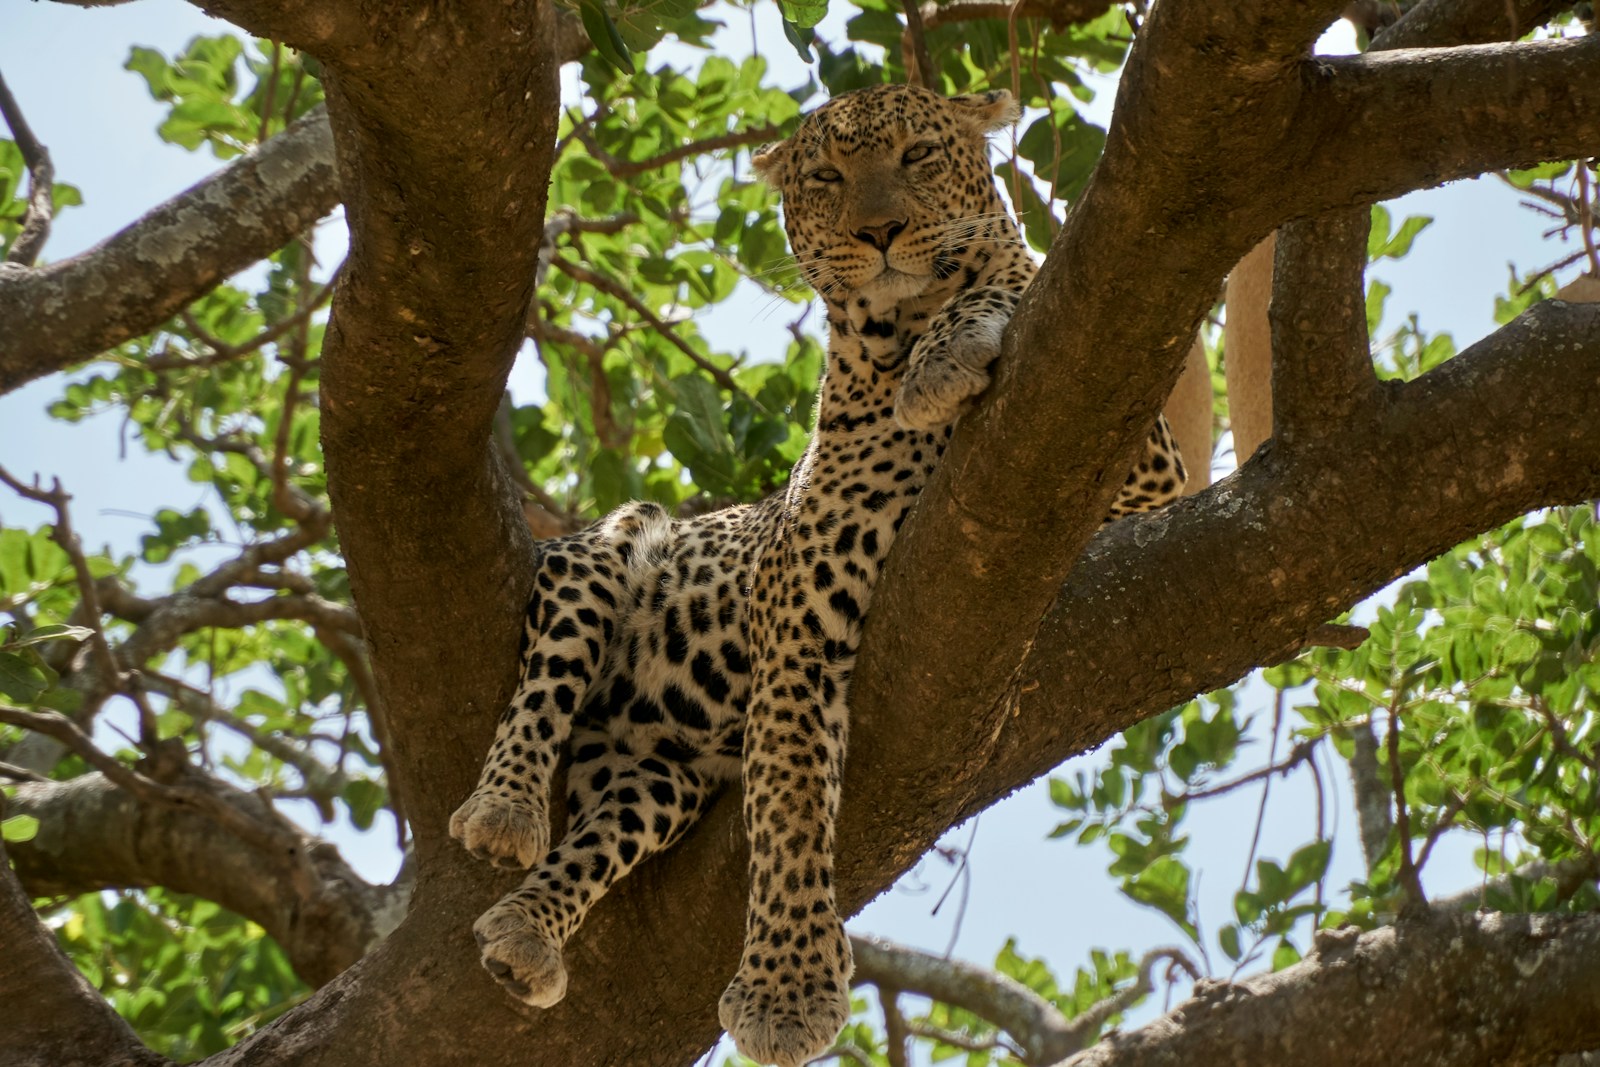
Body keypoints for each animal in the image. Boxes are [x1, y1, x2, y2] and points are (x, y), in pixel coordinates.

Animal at [449, 83, 1186, 1067]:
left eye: (918, 155)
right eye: (829, 177)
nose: (880, 230)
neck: (895, 336)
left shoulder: (1140, 462)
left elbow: (1006, 279)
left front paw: (954, 346)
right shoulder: (799, 616)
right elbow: (791, 801)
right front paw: (787, 992)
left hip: (661, 779)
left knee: (602, 834)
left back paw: (527, 929)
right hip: (602, 552)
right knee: (542, 693)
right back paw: (504, 813)